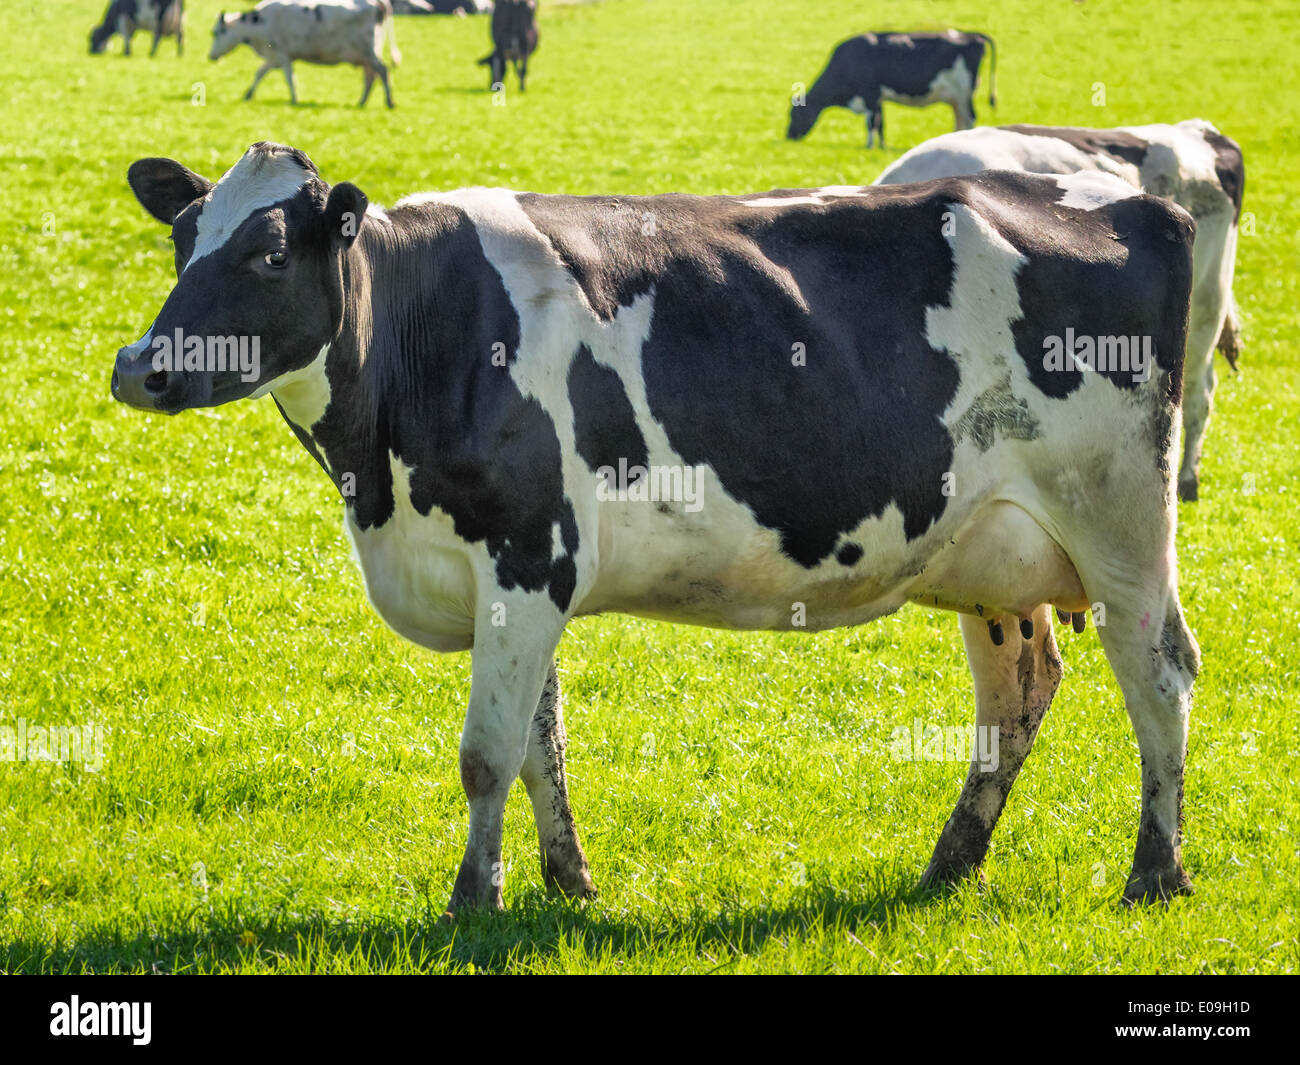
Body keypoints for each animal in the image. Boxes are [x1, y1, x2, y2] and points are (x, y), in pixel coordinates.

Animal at [112, 142, 1200, 914]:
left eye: (268, 252)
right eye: (180, 240)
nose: (140, 367)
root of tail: (1134, 201)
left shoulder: (528, 549)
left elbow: (487, 750)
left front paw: (471, 901)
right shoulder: (521, 578)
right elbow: (541, 740)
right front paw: (565, 882)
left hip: (1119, 515)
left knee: (1159, 674)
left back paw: (1155, 873)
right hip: (991, 549)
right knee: (1017, 691)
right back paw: (950, 865)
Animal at [209, 1, 401, 108]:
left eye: (217, 32)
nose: (210, 56)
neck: (260, 23)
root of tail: (379, 4)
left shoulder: (281, 54)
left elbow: (288, 77)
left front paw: (294, 99)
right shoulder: (274, 57)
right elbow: (260, 73)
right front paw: (248, 95)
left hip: (368, 50)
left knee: (382, 71)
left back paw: (389, 102)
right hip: (365, 55)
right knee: (371, 75)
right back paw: (362, 102)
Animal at [788, 30, 996, 149]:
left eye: (795, 115)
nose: (788, 136)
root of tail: (973, 35)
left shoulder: (870, 95)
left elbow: (871, 123)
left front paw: (869, 146)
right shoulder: (879, 98)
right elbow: (881, 124)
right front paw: (881, 147)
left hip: (964, 91)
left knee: (970, 118)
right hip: (956, 97)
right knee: (960, 119)